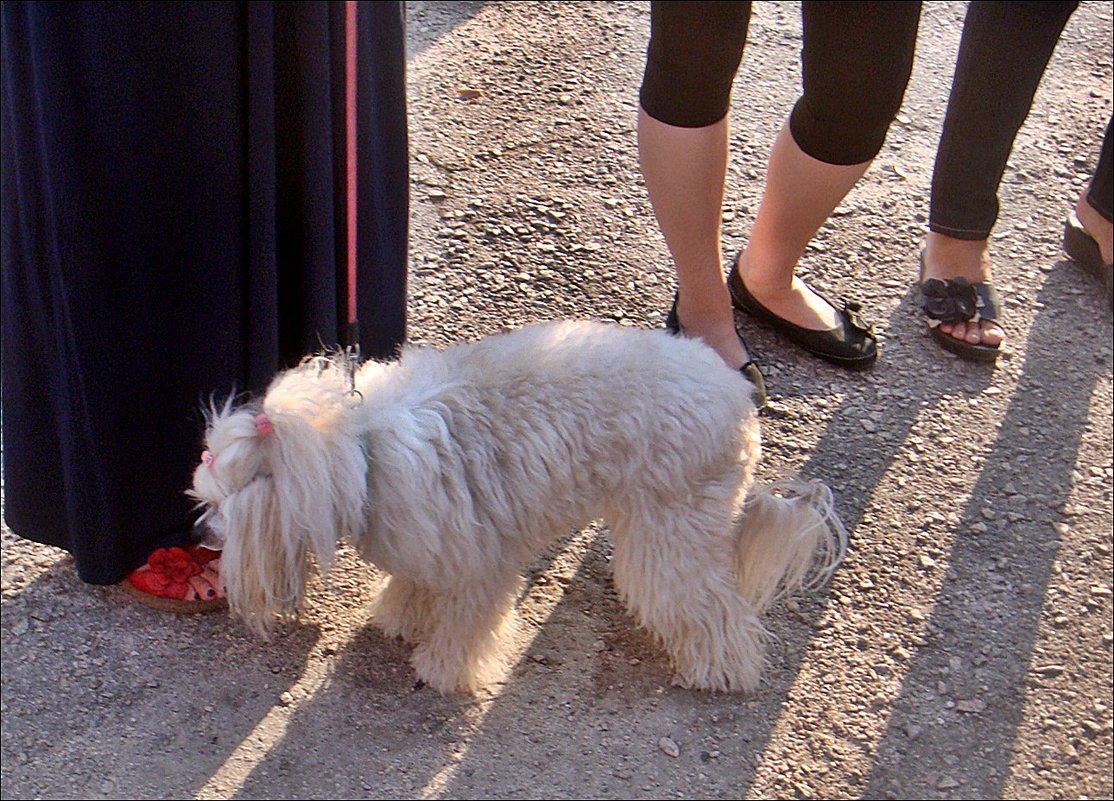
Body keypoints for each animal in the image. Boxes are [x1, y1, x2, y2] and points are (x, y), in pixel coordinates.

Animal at [191, 318, 842, 695]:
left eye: (222, 504)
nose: (202, 533)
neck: (361, 451)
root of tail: (739, 400)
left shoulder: (481, 566)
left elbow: (464, 627)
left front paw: (443, 670)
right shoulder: (430, 545)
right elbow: (413, 587)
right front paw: (400, 617)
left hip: (673, 533)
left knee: (710, 609)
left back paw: (721, 670)